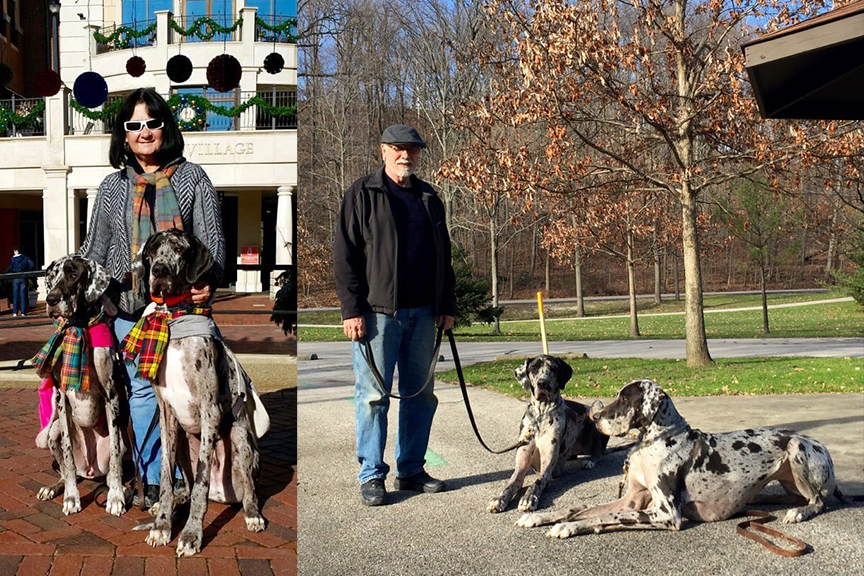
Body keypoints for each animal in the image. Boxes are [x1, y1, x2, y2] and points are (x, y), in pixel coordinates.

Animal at [516, 380, 848, 536]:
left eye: (624, 397)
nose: (593, 417)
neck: (655, 440)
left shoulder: (665, 513)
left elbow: (602, 516)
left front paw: (567, 527)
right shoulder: (632, 500)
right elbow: (579, 508)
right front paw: (539, 517)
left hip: (797, 447)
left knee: (818, 501)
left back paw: (800, 513)